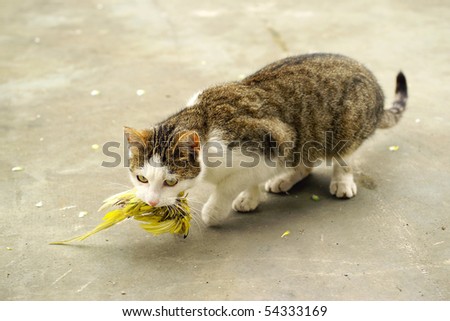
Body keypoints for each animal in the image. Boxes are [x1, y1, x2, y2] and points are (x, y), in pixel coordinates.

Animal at [123, 53, 408, 225]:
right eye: (141, 178)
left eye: (171, 181)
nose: (151, 201)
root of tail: (369, 75)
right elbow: (250, 180)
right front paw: (251, 197)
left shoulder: (276, 142)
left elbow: (230, 184)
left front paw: (214, 211)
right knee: (307, 160)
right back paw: (285, 179)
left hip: (345, 125)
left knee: (343, 157)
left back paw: (341, 181)